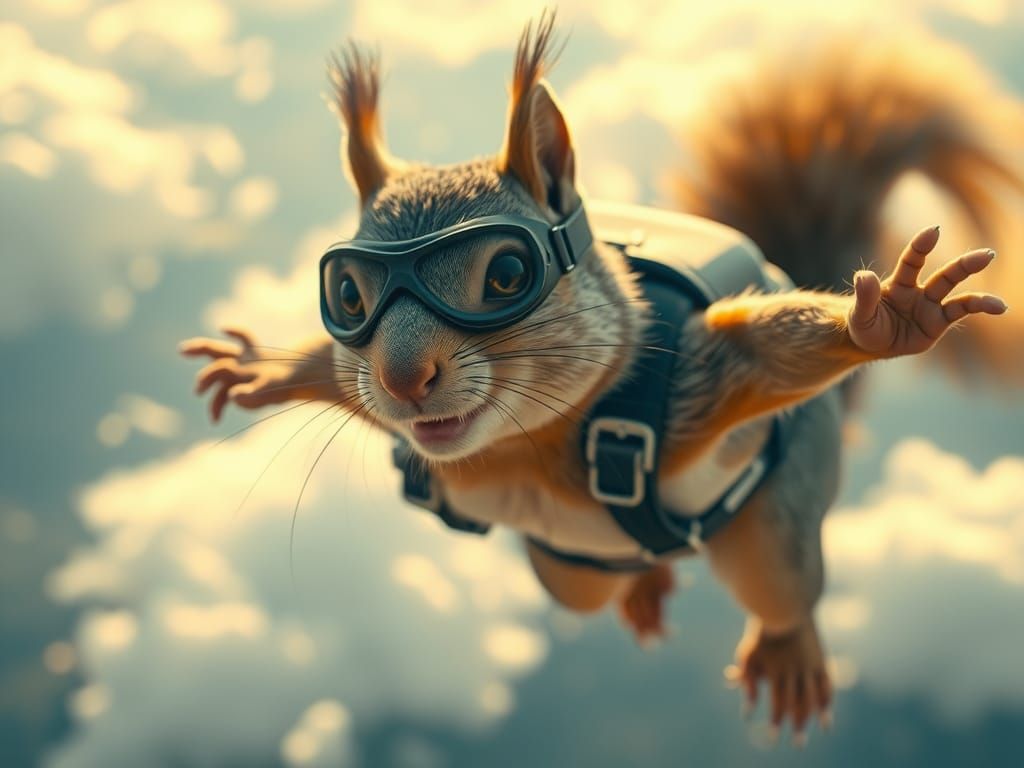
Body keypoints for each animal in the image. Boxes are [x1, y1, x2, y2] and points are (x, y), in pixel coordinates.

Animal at [180, 14, 1019, 743]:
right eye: (347, 296)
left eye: (508, 274)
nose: (400, 378)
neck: (516, 450)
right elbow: (332, 373)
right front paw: (268, 366)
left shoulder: (690, 385)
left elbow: (761, 353)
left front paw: (888, 315)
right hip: (566, 574)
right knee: (610, 582)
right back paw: (648, 586)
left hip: (779, 522)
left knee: (784, 591)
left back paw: (789, 652)